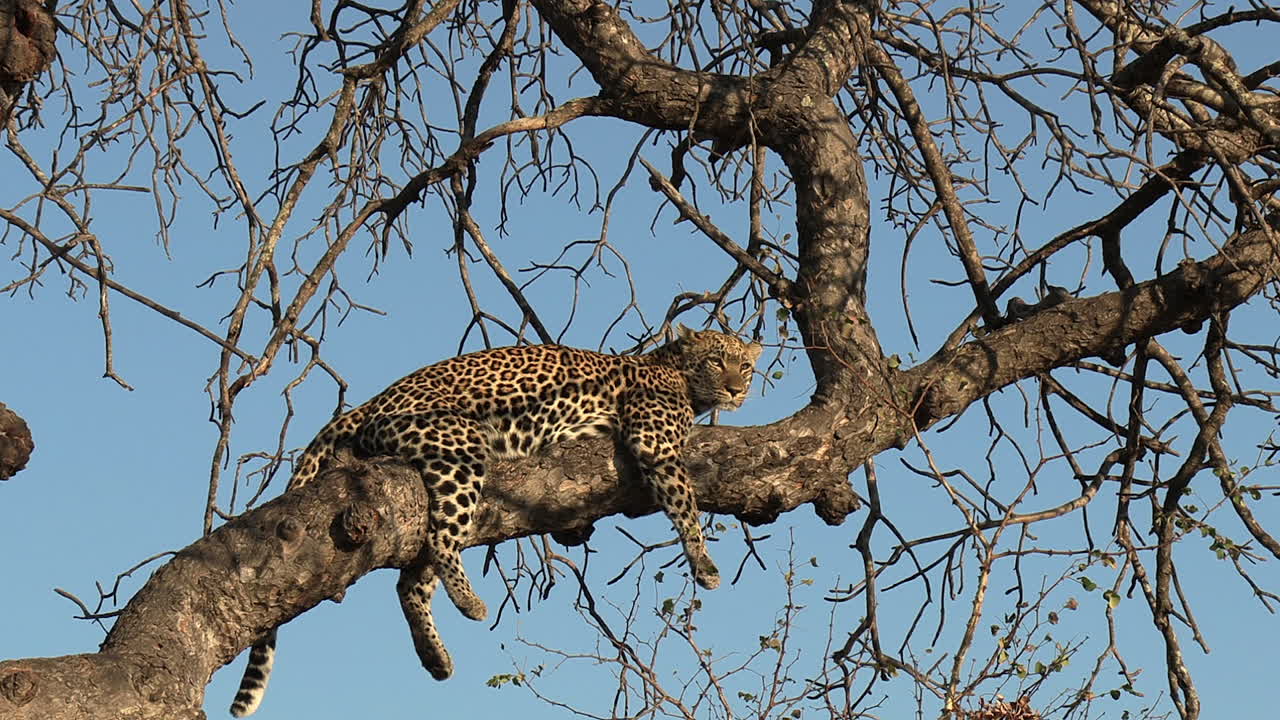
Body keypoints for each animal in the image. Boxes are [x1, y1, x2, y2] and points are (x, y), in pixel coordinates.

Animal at [229, 326, 762, 717]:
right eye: (716, 360)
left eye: (746, 366)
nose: (736, 388)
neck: (676, 373)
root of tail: (373, 400)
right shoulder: (656, 443)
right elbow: (685, 503)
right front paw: (704, 564)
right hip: (459, 447)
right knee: (441, 542)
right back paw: (471, 604)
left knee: (412, 578)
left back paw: (436, 657)